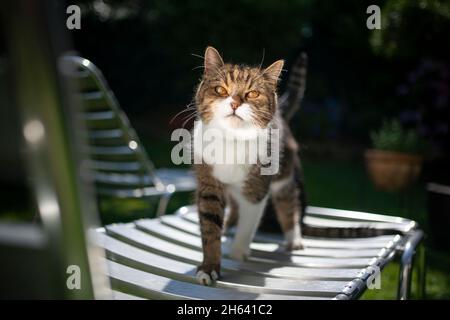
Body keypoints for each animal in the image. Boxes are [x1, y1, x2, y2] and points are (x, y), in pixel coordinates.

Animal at [192, 46, 308, 286]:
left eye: (252, 94)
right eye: (220, 90)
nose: (235, 103)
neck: (232, 140)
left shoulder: (256, 189)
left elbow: (248, 223)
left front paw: (238, 252)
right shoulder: (209, 184)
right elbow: (210, 227)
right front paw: (209, 268)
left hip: (283, 176)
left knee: (288, 203)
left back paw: (294, 238)